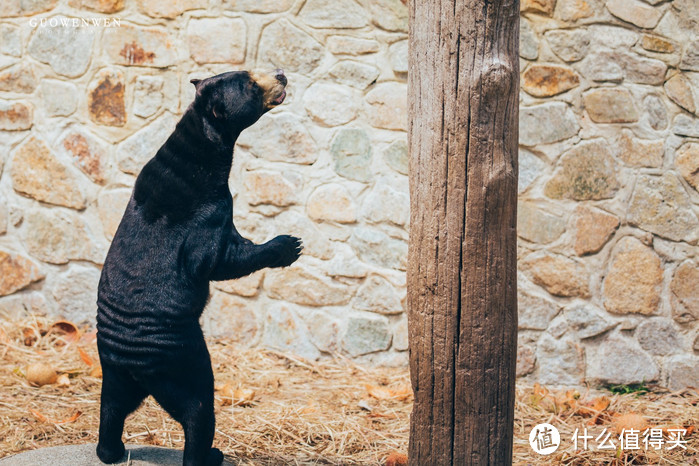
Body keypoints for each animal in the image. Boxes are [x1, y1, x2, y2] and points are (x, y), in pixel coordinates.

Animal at [96, 70, 304, 466]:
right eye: (251, 84)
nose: (282, 74)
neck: (198, 152)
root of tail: (136, 367)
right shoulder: (206, 215)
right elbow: (221, 260)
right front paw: (289, 245)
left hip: (114, 376)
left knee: (111, 408)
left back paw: (112, 451)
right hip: (187, 362)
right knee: (198, 411)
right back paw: (210, 454)